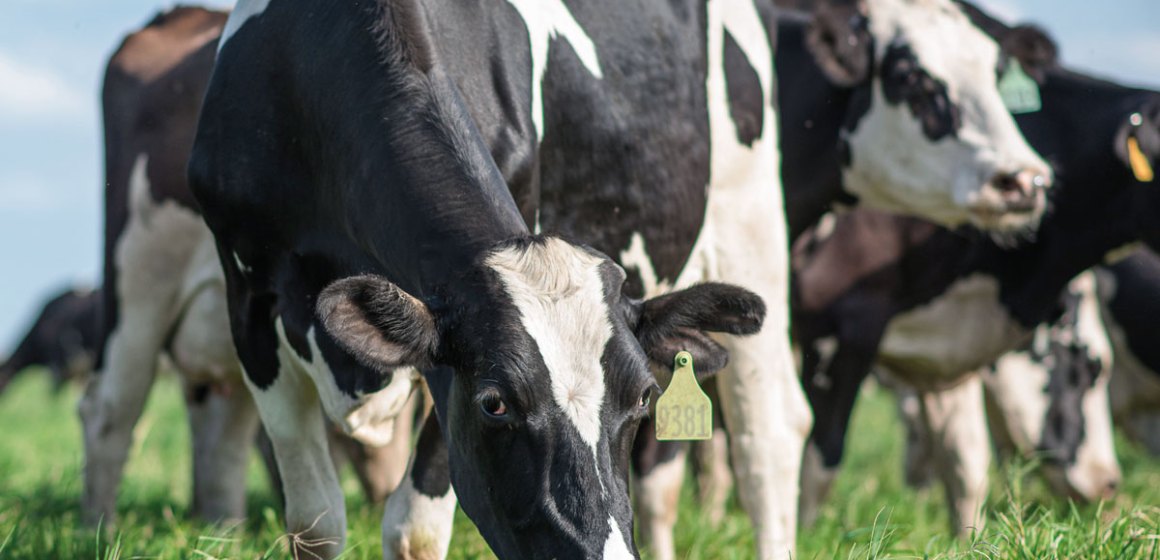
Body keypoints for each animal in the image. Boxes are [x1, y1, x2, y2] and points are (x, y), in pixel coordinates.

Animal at [790, 12, 1160, 534]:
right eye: (1089, 368)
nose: (1108, 483)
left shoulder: (945, 342)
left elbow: (966, 460)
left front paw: (967, 539)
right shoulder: (842, 321)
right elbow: (818, 461)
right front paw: (801, 537)